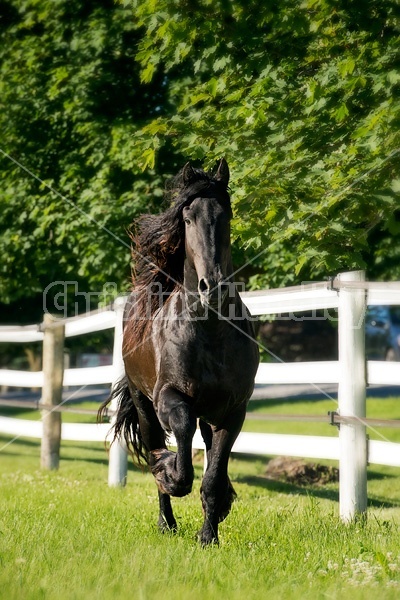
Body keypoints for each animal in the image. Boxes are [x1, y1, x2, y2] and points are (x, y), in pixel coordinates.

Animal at [98, 158, 258, 544]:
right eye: (187, 218)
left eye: (226, 215)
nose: (212, 287)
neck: (209, 333)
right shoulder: (169, 396)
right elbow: (181, 450)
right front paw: (168, 471)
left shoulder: (233, 410)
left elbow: (214, 475)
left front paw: (209, 535)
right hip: (143, 404)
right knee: (156, 442)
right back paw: (166, 521)